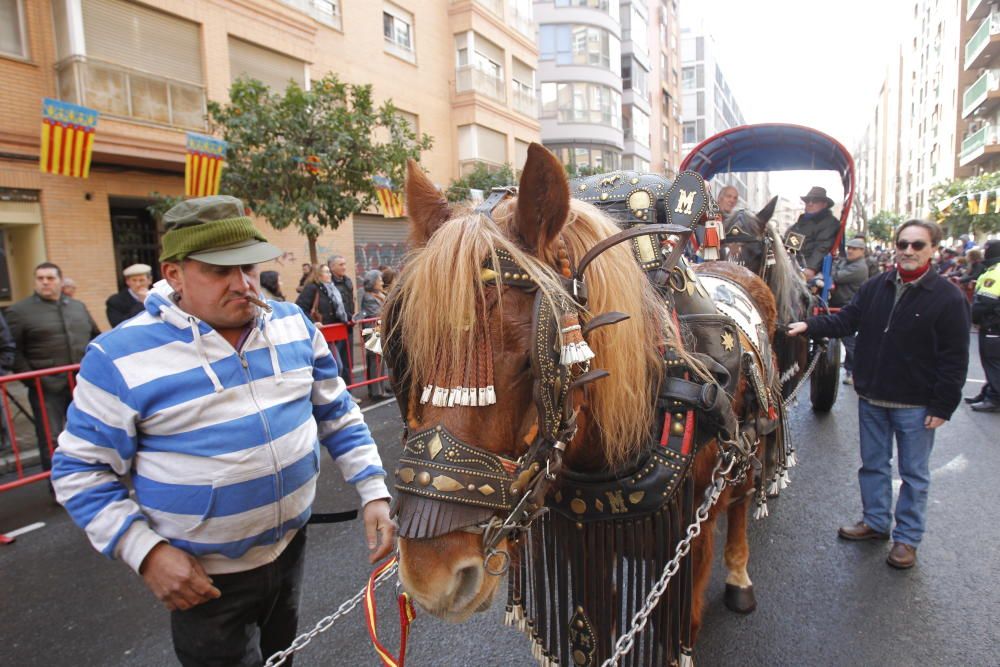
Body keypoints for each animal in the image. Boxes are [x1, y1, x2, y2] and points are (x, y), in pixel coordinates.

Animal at [382, 147, 780, 667]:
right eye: (406, 352)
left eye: (529, 359)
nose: (432, 578)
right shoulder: (581, 543)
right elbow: (591, 633)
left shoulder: (688, 545)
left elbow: (678, 628)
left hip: (747, 449)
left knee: (741, 498)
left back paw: (739, 576)